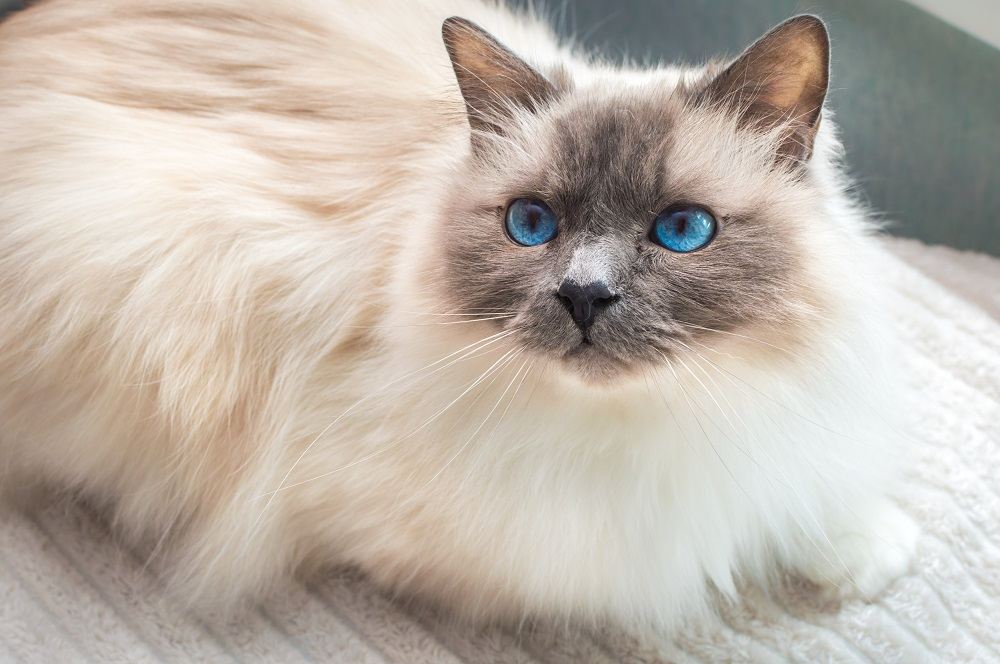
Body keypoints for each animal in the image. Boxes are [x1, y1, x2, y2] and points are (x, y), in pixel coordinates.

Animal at [0, 0, 916, 628]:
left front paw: (870, 558)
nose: (584, 296)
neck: (650, 422)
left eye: (682, 230)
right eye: (532, 225)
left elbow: (793, 501)